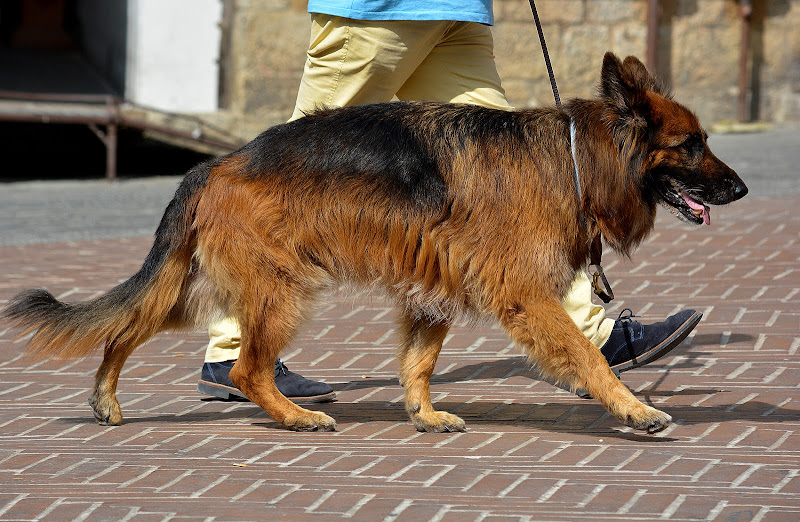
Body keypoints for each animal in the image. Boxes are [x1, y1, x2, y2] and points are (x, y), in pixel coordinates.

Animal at [3, 54, 748, 432]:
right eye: (693, 145)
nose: (741, 188)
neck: (570, 157)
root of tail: (216, 162)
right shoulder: (526, 296)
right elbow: (587, 358)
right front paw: (634, 407)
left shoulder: (433, 294)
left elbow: (418, 364)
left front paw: (423, 415)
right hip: (283, 292)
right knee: (244, 369)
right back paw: (294, 416)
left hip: (198, 289)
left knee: (123, 329)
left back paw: (105, 398)